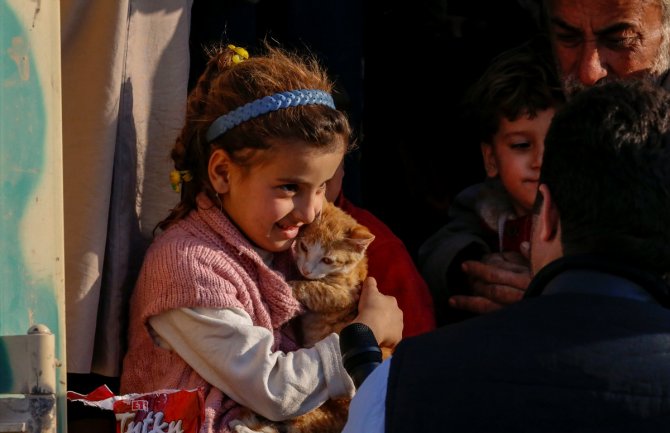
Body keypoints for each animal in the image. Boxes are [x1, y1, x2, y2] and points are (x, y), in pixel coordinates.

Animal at [231, 201, 378, 432]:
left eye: (327, 259)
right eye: (304, 247)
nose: (306, 270)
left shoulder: (342, 293)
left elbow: (311, 288)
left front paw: (285, 285)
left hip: (310, 412)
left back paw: (242, 426)